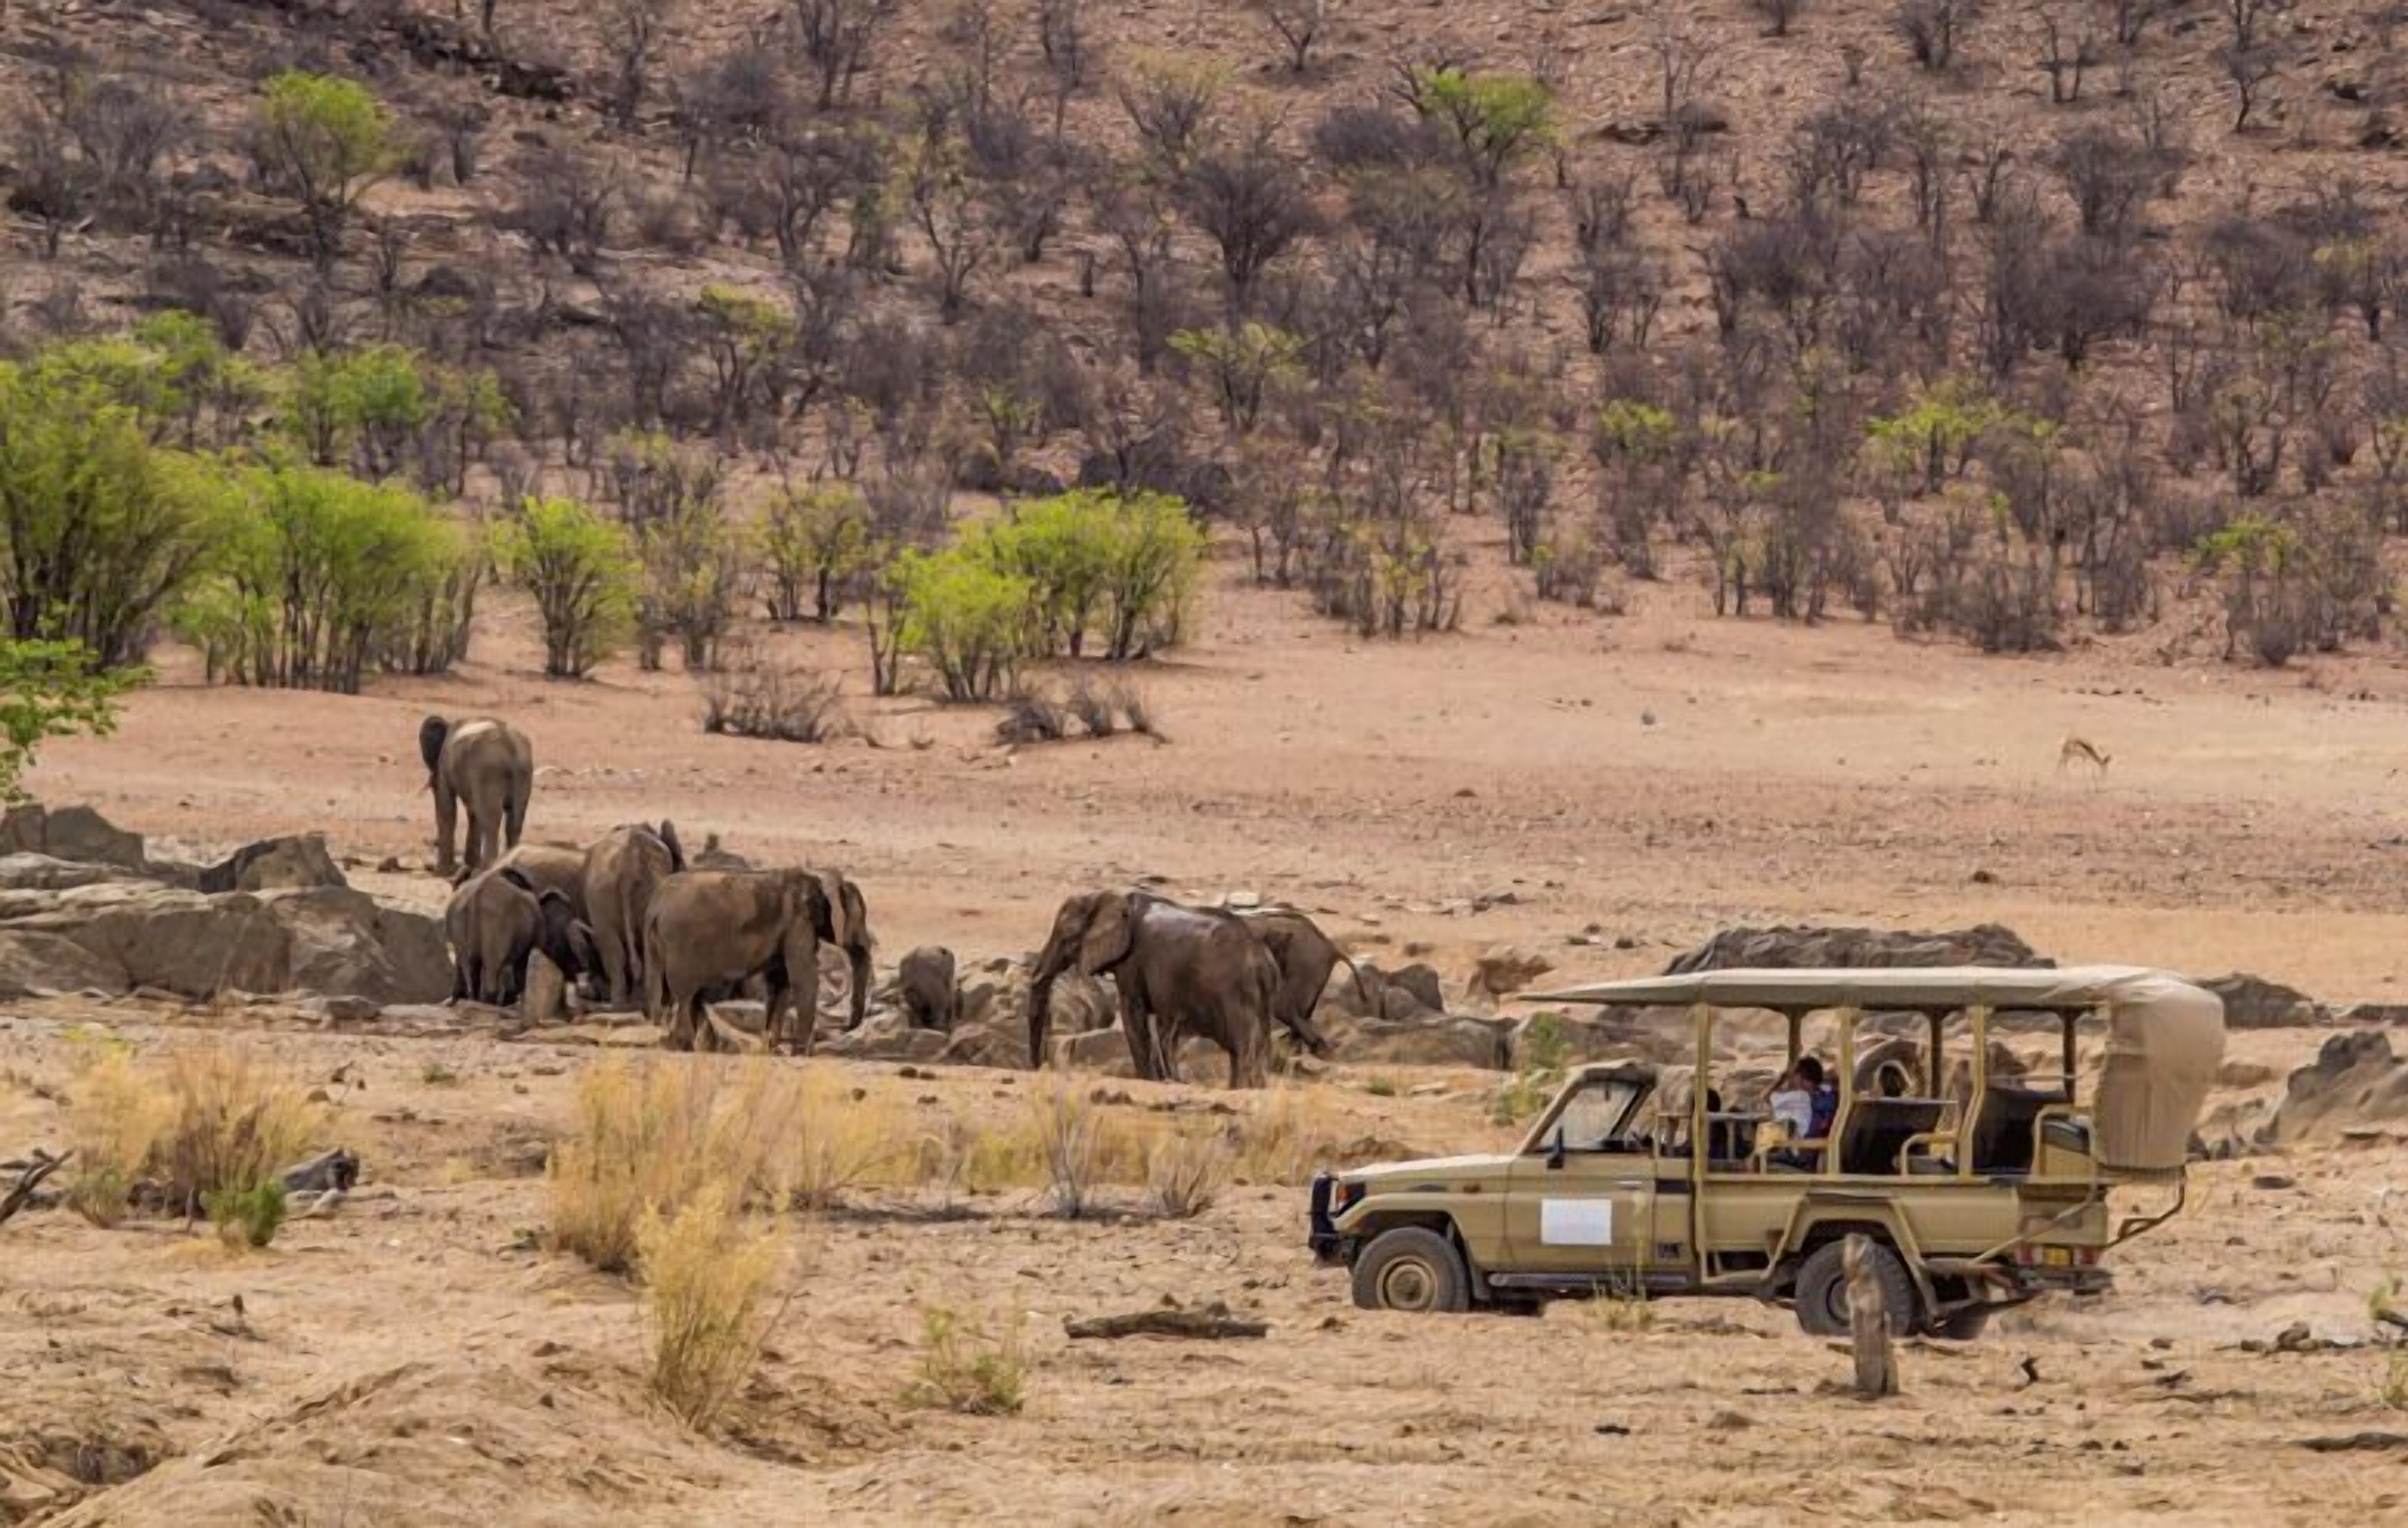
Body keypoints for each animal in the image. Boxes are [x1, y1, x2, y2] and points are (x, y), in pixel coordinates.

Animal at [420, 715, 534, 881]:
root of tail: (510, 746)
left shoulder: (444, 763)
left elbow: (446, 809)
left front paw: (441, 873)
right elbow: (472, 812)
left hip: (489, 770)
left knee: (491, 819)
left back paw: (484, 871)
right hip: (524, 772)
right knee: (515, 821)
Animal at [445, 866, 600, 1008]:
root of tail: (475, 895)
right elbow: (522, 966)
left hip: (460, 919)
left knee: (470, 966)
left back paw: (475, 1000)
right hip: (495, 925)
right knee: (492, 970)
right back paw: (490, 1002)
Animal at [642, 869, 844, 1053]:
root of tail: (658, 905)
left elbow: (779, 981)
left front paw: (771, 1049)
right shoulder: (798, 922)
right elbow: (803, 978)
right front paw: (799, 1052)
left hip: (655, 943)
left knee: (665, 990)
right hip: (681, 944)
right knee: (685, 994)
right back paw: (684, 1045)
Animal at [1028, 890, 1277, 1088]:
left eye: (1066, 936)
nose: (1038, 1066)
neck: (1110, 898)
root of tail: (1261, 958)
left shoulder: (1132, 961)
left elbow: (1133, 1015)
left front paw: (1149, 1080)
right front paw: (1160, 1079)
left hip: (1234, 992)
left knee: (1241, 1046)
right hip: (1260, 997)